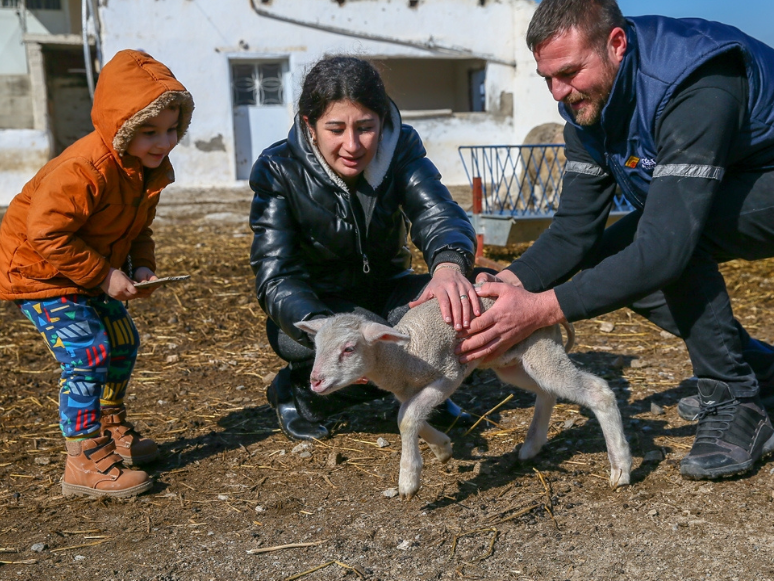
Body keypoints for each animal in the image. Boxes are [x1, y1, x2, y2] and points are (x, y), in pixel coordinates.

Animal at [296, 296, 632, 500]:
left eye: (349, 348)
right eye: (316, 346)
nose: (314, 381)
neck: (405, 354)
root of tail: (541, 303)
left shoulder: (449, 373)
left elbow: (407, 419)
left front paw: (409, 480)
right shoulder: (406, 389)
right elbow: (408, 416)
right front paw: (442, 448)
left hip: (541, 346)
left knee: (597, 390)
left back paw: (621, 467)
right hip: (509, 363)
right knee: (547, 391)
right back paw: (531, 447)